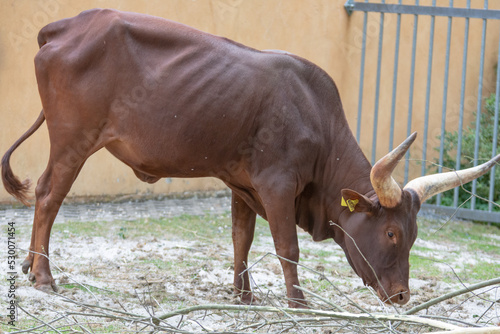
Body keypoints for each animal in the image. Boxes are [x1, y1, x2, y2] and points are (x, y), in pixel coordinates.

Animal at [1, 9, 498, 308]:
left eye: (414, 236)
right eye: (391, 233)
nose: (401, 296)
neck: (313, 115)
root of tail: (68, 26)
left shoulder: (241, 184)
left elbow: (241, 238)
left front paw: (243, 295)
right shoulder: (278, 186)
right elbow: (287, 247)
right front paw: (298, 302)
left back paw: (27, 264)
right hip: (73, 142)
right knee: (48, 196)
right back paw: (42, 275)